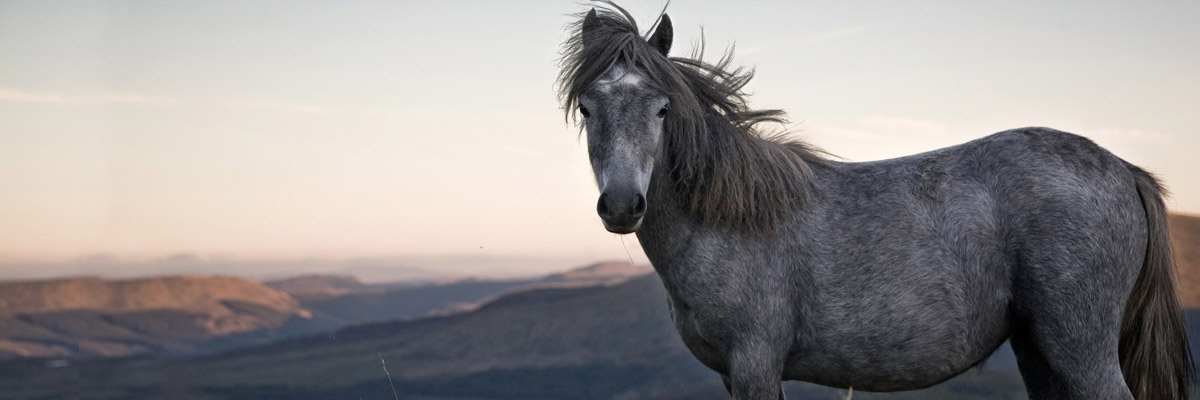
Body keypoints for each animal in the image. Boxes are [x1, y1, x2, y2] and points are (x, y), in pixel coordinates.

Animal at [559, 3, 1190, 398]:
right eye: (587, 107)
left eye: (662, 108)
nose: (622, 205)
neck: (728, 223)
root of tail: (1126, 170)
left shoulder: (757, 365)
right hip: (1039, 348)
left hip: (1082, 349)